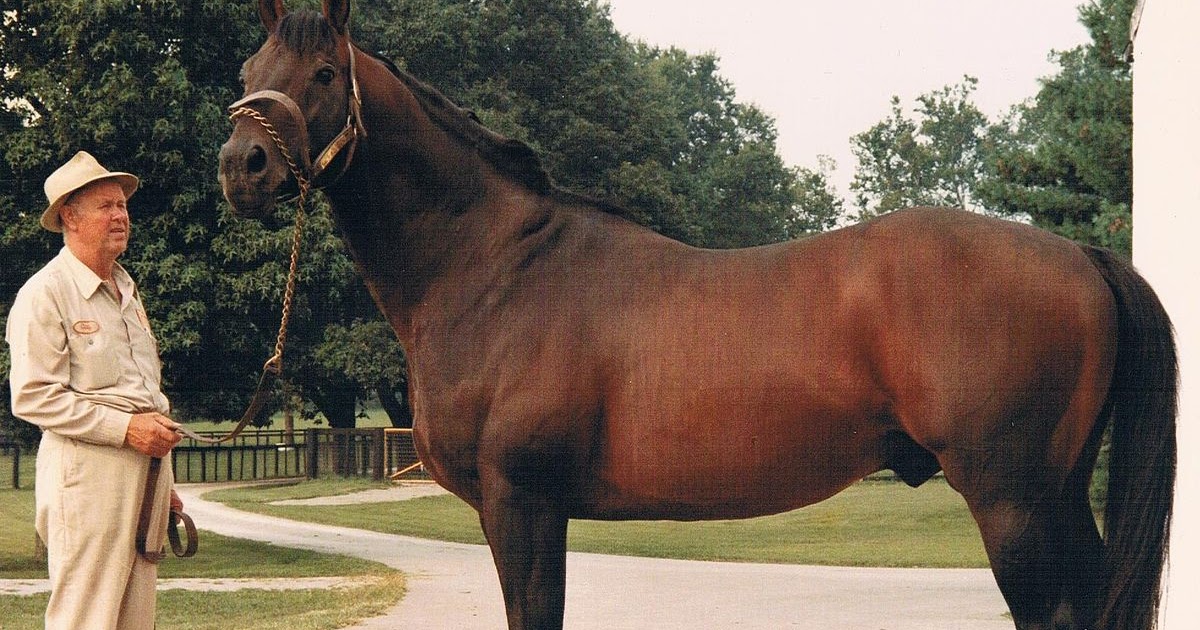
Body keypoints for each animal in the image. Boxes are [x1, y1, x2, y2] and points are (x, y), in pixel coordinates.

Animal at [218, 2, 1176, 628]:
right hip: (1055, 492)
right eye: (247, 74)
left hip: (1013, 500)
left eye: (324, 73)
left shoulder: (522, 502)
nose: (241, 165)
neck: (494, 270)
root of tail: (1079, 257)